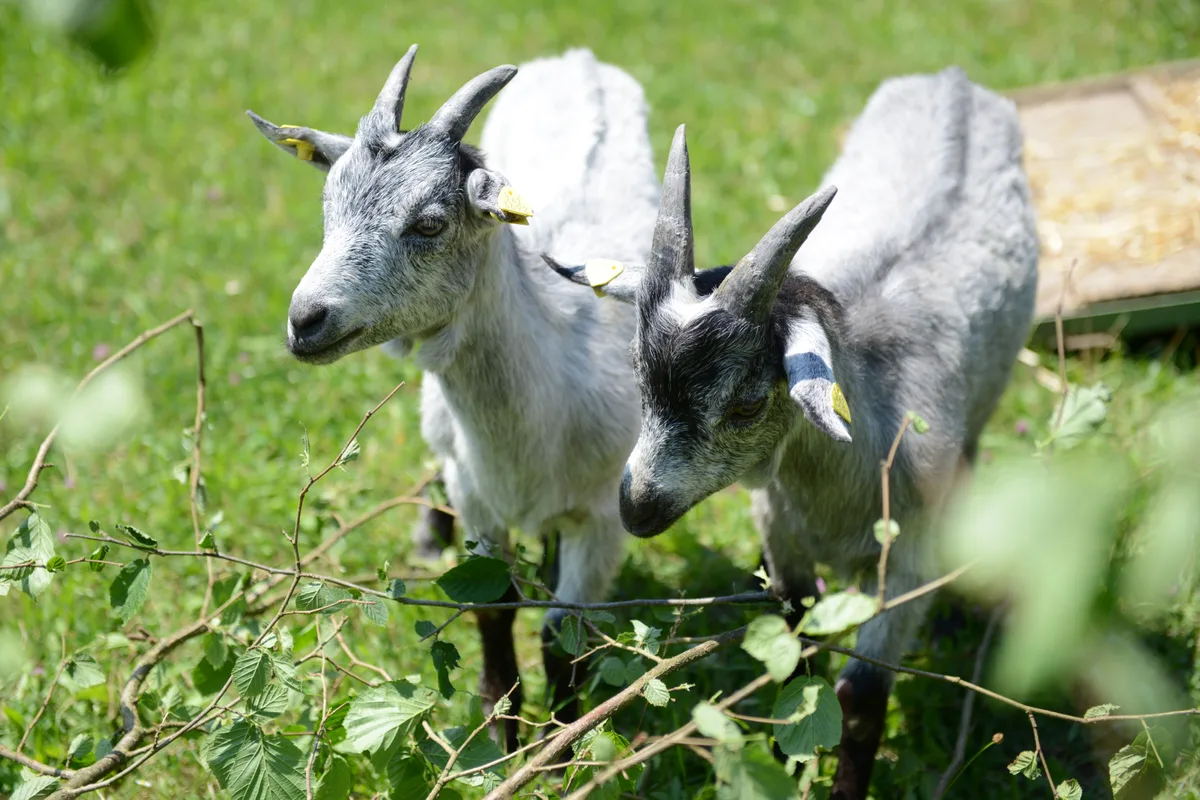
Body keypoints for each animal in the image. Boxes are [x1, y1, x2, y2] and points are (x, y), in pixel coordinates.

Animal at [247, 46, 659, 749]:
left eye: (429, 222)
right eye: (328, 206)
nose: (306, 320)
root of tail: (577, 58)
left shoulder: (605, 514)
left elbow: (562, 636)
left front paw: (557, 747)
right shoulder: (478, 496)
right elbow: (493, 609)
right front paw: (499, 732)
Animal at [545, 67, 1039, 798]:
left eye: (749, 404)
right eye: (639, 374)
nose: (635, 506)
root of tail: (953, 80)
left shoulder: (905, 559)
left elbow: (861, 698)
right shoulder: (781, 531)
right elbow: (795, 652)